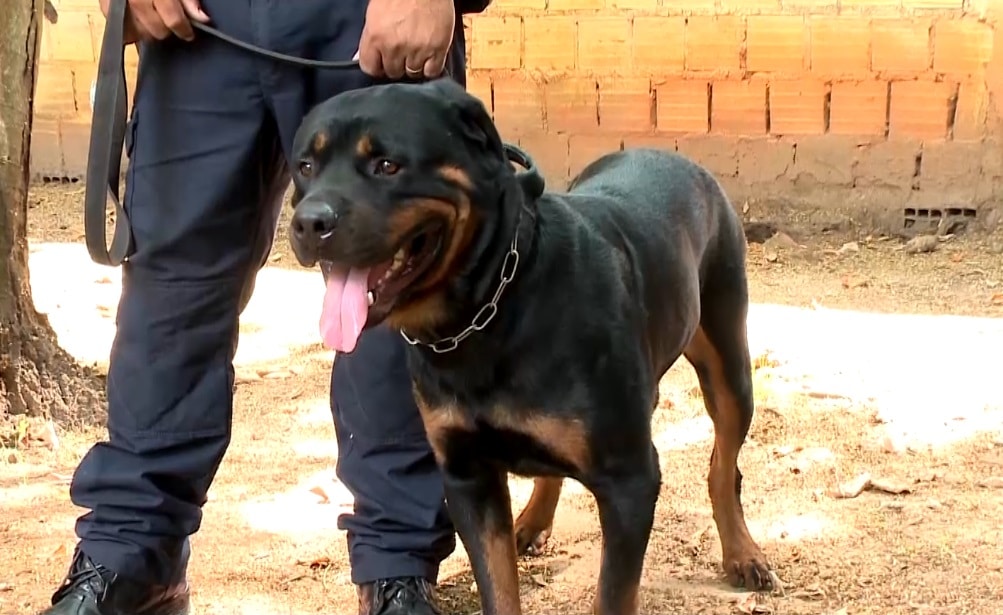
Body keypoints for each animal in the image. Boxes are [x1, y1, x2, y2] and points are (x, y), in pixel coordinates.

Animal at [286, 77, 770, 613]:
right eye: (305, 167)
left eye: (387, 165)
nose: (309, 223)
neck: (487, 314)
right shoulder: (468, 477)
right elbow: (498, 588)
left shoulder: (630, 481)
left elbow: (613, 594)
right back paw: (534, 521)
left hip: (729, 367)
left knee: (723, 467)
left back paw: (742, 554)